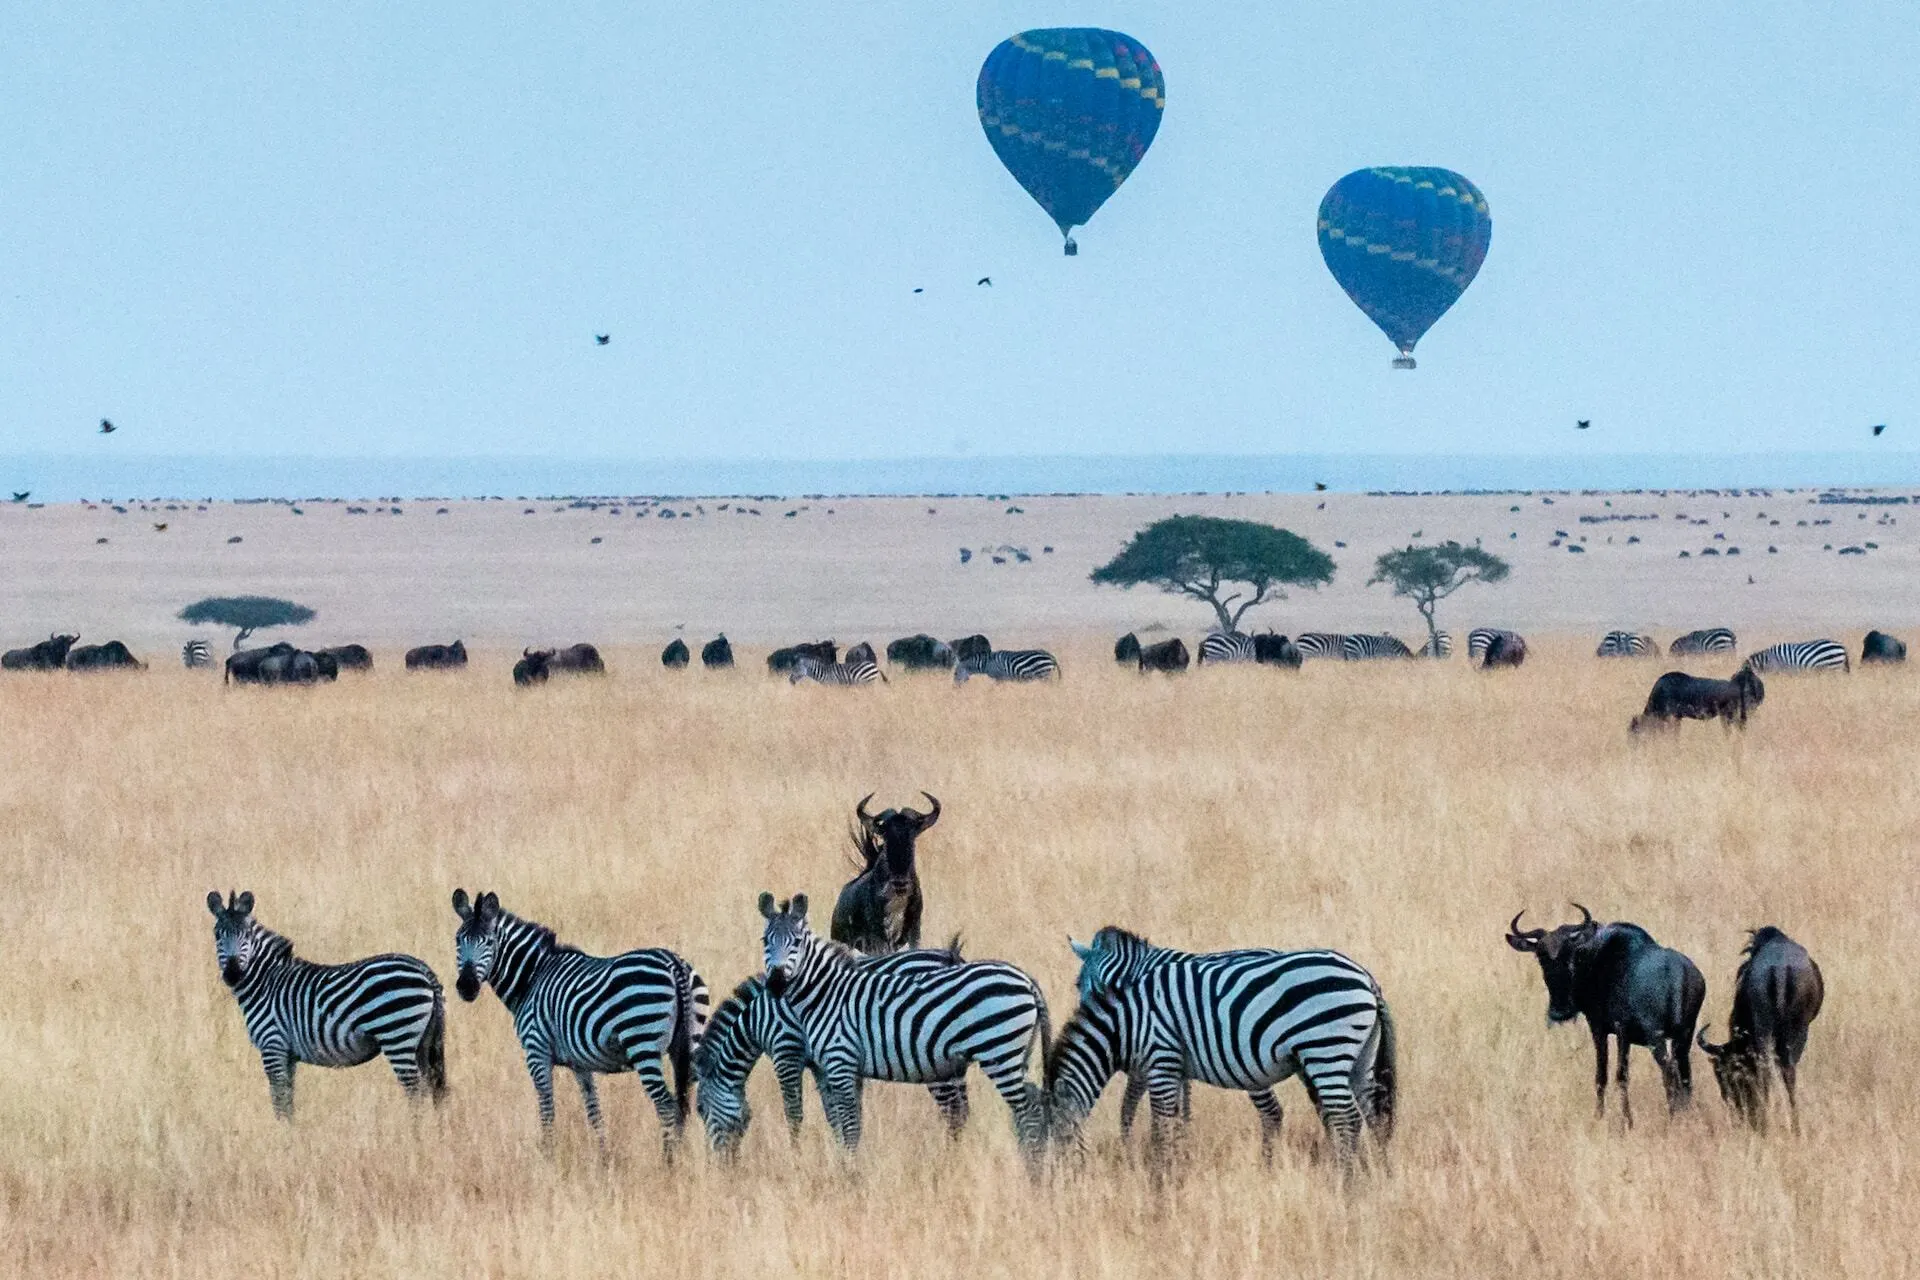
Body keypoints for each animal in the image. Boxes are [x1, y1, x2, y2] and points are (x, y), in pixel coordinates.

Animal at [205, 890, 445, 1120]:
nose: (233, 974)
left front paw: (280, 1131)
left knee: (415, 1091)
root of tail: (422, 968)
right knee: (433, 1087)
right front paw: (292, 1131)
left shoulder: (272, 1046)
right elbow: (288, 1100)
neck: (266, 981)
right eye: (217, 935)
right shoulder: (287, 1054)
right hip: (424, 1041)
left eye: (246, 935)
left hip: (397, 1035)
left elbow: (279, 1100)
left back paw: (414, 1131)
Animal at [453, 890, 710, 1151]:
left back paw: (668, 1158)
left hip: (642, 1043)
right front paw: (603, 1154)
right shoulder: (581, 1064)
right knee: (688, 1103)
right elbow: (594, 1111)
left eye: (488, 942)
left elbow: (547, 1110)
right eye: (458, 940)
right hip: (690, 1042)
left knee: (667, 1106)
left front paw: (548, 1153)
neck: (533, 977)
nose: (466, 987)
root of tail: (674, 964)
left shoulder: (537, 1052)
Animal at [691, 948, 967, 1159]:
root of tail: (950, 956)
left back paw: (948, 1161)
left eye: (701, 1110)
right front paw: (842, 1153)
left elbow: (793, 1112)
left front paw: (796, 1156)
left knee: (953, 1111)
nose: (720, 1165)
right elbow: (834, 1114)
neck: (757, 1018)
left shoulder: (786, 1051)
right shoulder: (822, 1063)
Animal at [752, 890, 1052, 1159]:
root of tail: (1027, 980)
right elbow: (846, 1122)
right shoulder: (836, 1068)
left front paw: (850, 1170)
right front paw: (846, 1162)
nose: (776, 982)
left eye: (796, 941)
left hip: (999, 1052)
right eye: (765, 941)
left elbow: (846, 1124)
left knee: (1029, 1112)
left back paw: (1033, 1166)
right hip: (1016, 1055)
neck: (826, 993)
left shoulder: (838, 1061)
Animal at [1052, 924, 1397, 1166]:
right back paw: (1374, 1170)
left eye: (1101, 987)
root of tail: (1367, 978)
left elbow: (1137, 1105)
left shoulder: (1157, 1048)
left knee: (1310, 1112)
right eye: (1079, 985)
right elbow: (1174, 1106)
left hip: (1314, 1050)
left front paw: (1144, 1150)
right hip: (1348, 1057)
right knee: (1363, 1112)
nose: (1088, 1011)